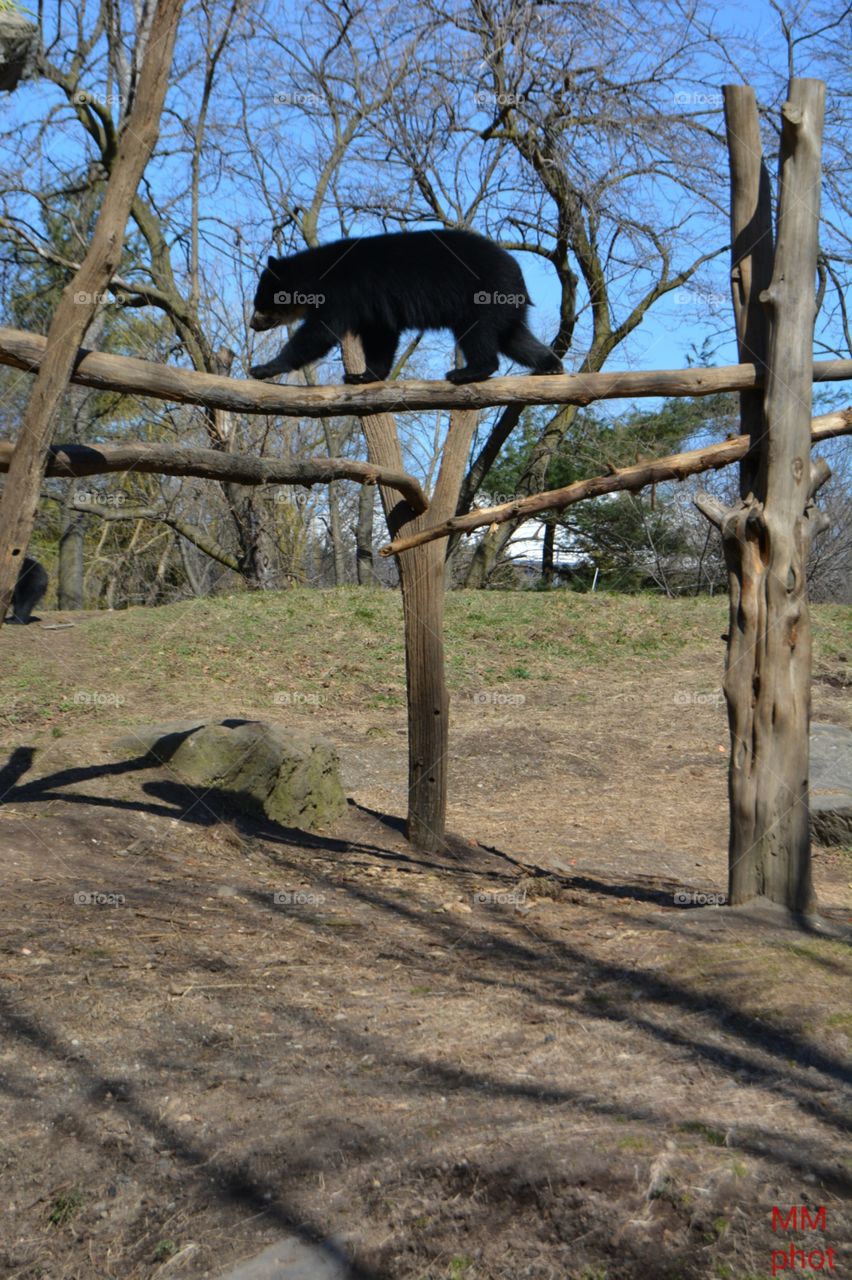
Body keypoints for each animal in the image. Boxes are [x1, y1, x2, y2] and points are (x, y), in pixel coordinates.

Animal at [248, 228, 562, 385]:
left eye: (260, 302)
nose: (252, 324)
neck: (314, 275)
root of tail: (518, 273)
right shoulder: (372, 305)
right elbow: (380, 336)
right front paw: (363, 376)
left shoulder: (342, 294)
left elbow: (318, 334)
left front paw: (263, 368)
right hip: (506, 306)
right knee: (515, 337)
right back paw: (551, 365)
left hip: (482, 296)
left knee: (478, 334)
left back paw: (467, 372)